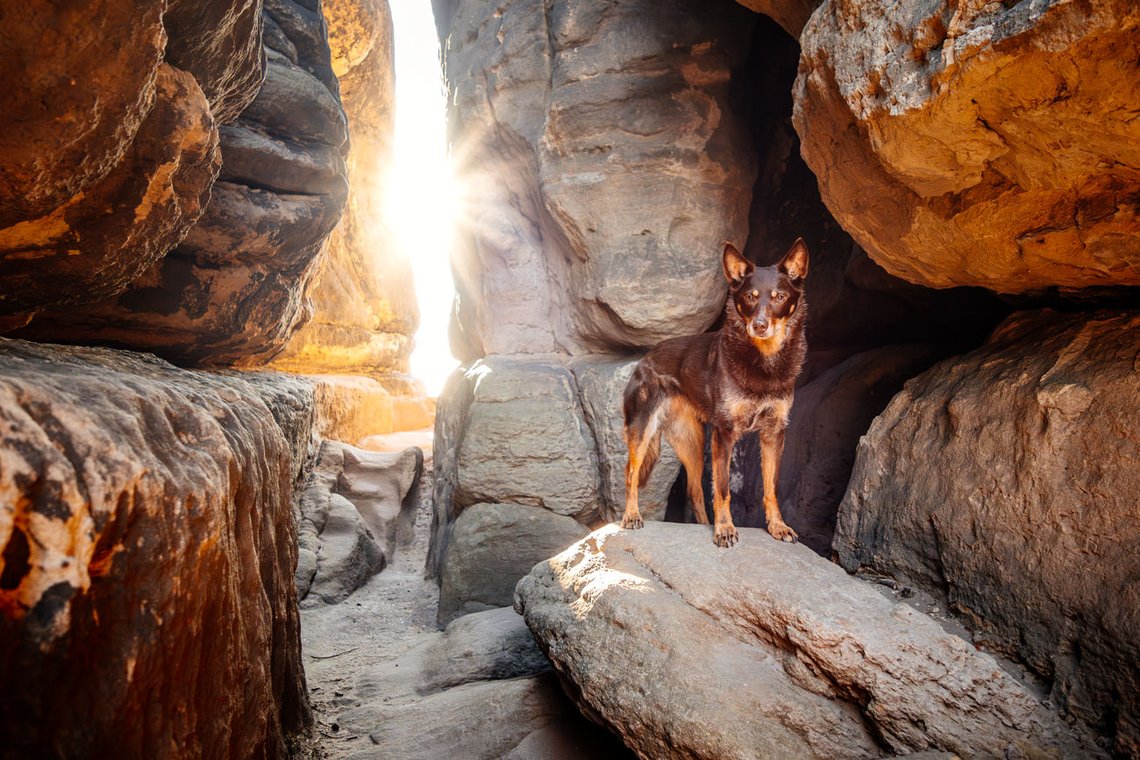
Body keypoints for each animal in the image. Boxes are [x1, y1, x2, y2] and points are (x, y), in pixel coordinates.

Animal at [620, 239, 807, 546]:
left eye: (779, 297)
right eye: (750, 297)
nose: (759, 325)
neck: (763, 363)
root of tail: (646, 358)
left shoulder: (774, 432)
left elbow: (771, 488)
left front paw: (778, 526)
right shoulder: (724, 433)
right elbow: (722, 489)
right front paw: (725, 529)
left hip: (692, 443)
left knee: (694, 490)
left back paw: (702, 524)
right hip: (643, 430)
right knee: (631, 473)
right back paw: (631, 516)